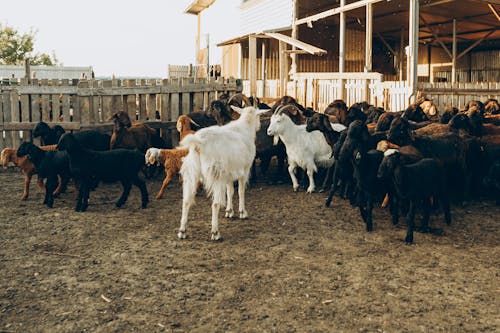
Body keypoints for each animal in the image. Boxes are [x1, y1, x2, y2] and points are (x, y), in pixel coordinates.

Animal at [177, 105, 268, 240]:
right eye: (259, 116)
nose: (259, 126)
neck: (244, 128)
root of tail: (199, 143)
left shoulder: (228, 175)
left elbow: (230, 191)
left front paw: (229, 212)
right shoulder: (245, 170)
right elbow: (241, 191)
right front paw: (242, 212)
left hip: (192, 172)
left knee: (186, 201)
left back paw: (182, 231)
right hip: (216, 174)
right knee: (215, 204)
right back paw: (215, 233)